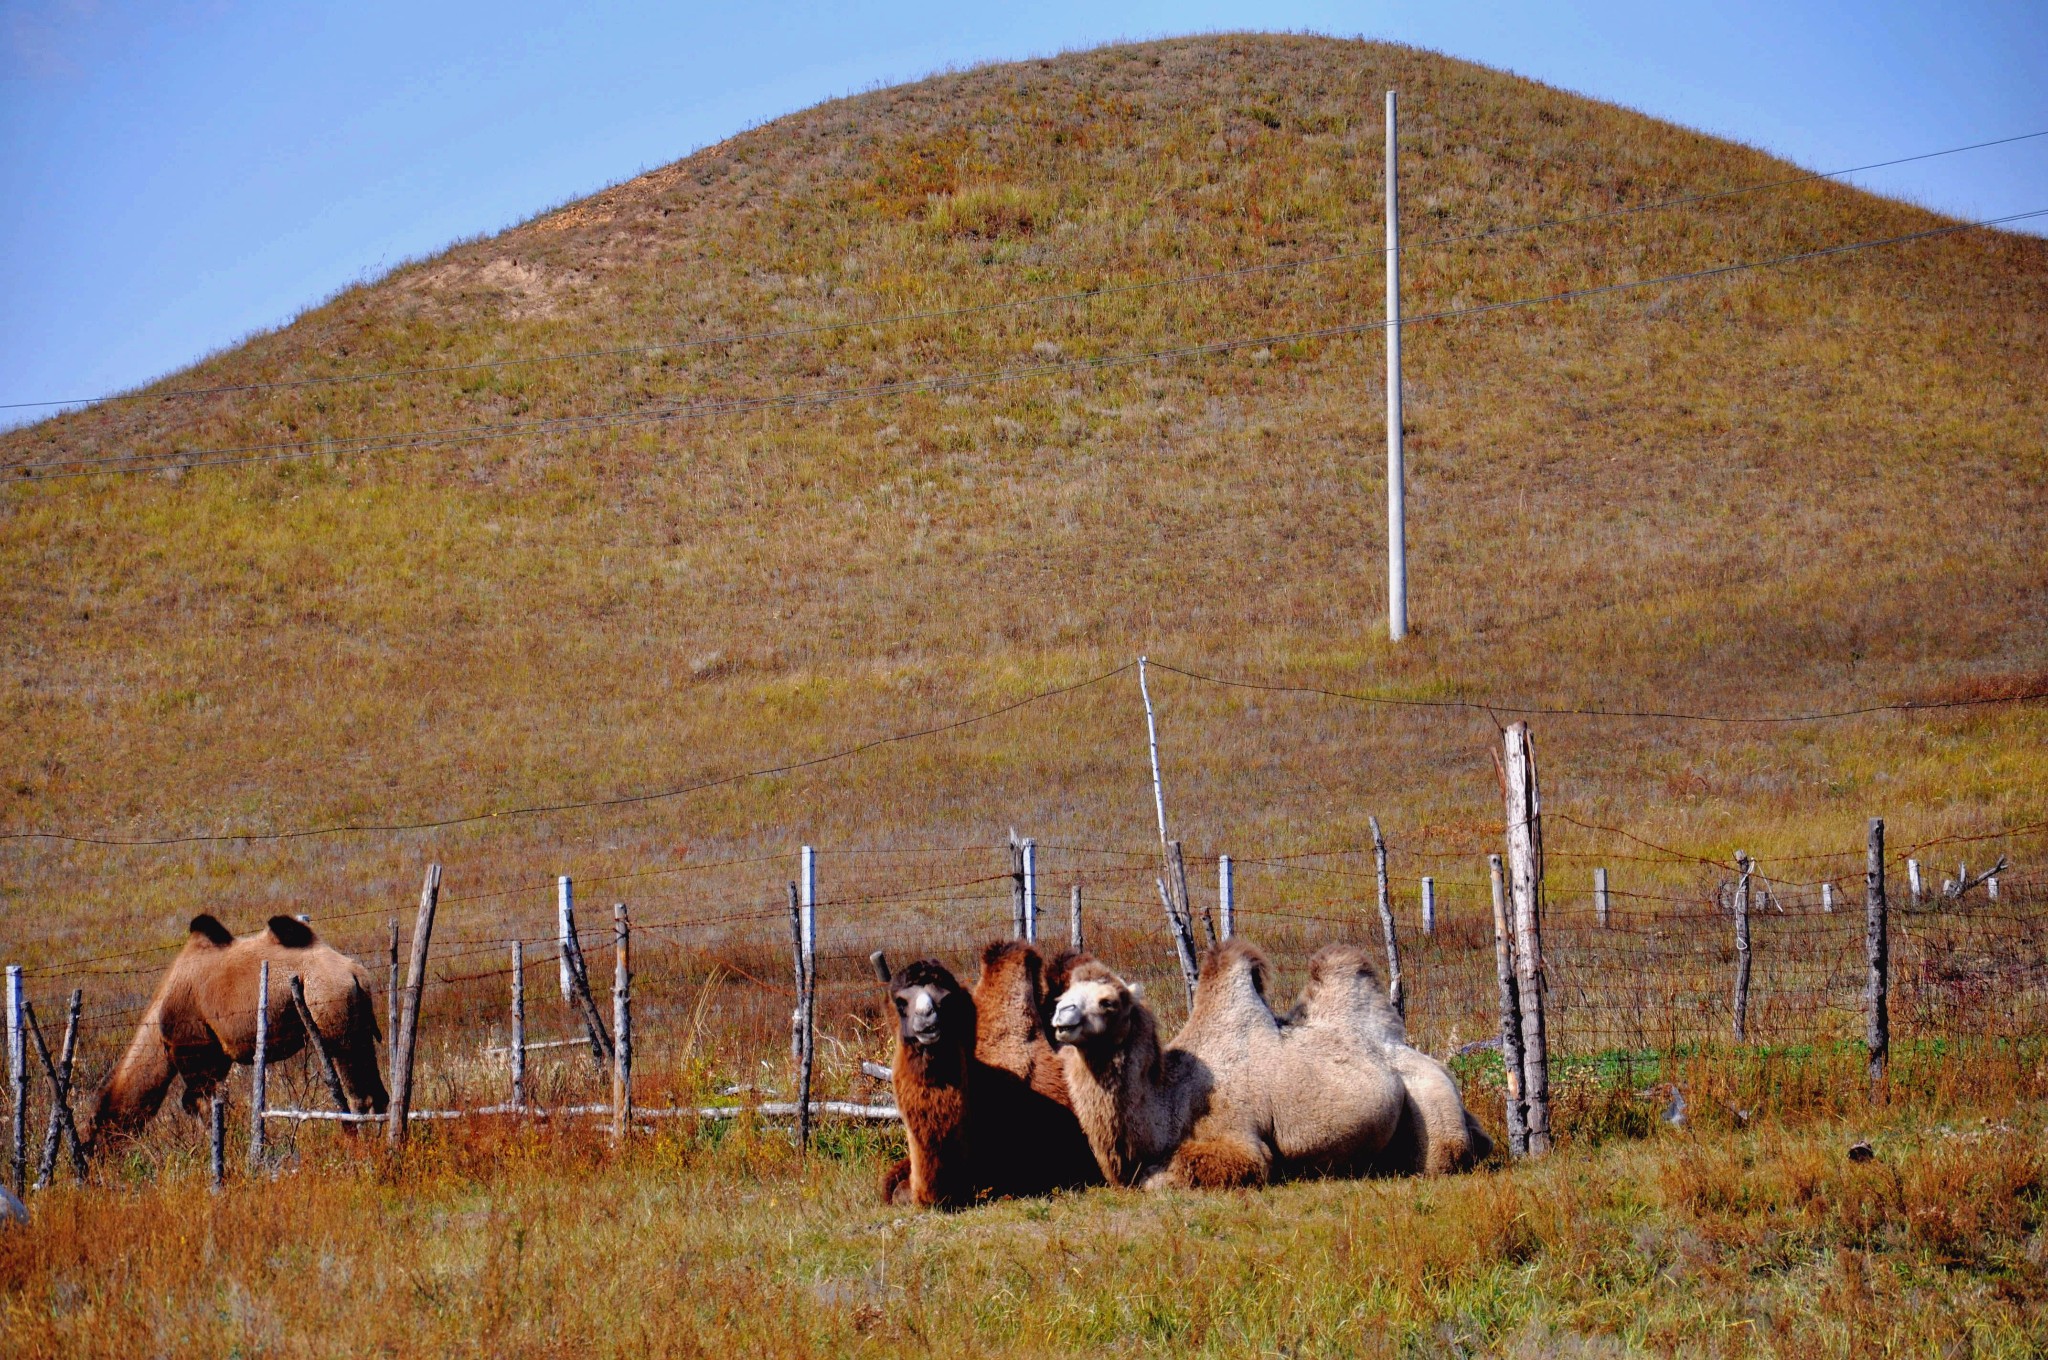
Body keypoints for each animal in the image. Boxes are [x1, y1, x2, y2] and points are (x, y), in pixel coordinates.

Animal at [92, 913, 389, 1146]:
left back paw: (359, 1141)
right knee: (378, 1092)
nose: (98, 1156)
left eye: (100, 1122)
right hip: (360, 1028)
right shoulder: (219, 1057)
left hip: (334, 1020)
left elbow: (197, 1103)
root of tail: (356, 974)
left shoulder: (198, 1052)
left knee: (358, 1093)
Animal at [1048, 942, 1482, 1187]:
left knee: (1444, 1156)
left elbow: (1163, 1177)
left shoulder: (1240, 1141)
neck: (1170, 1099)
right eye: (1061, 998)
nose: (1061, 1019)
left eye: (1109, 1002)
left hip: (1433, 1102)